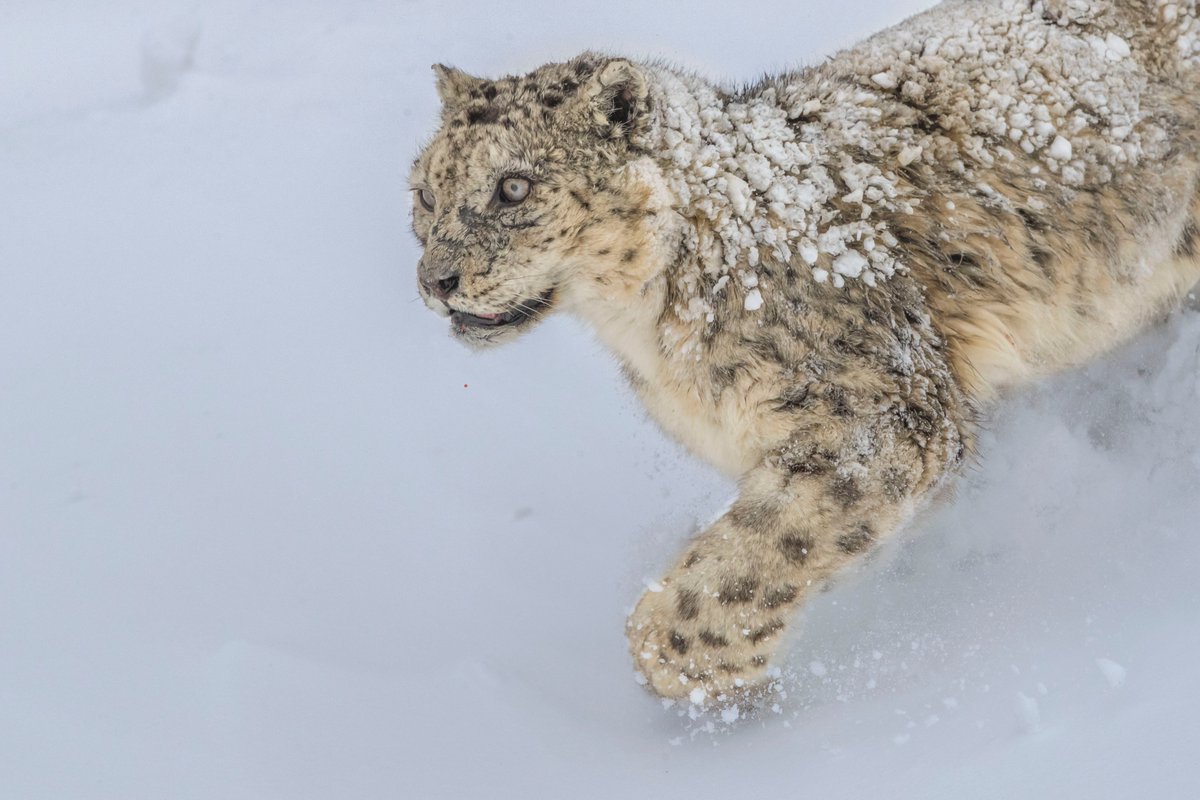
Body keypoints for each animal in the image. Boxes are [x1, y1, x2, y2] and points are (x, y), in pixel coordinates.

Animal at [408, 0, 1200, 700]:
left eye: (514, 187)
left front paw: (702, 680)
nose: (434, 280)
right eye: (424, 193)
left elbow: (749, 561)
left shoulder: (879, 417)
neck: (648, 331)